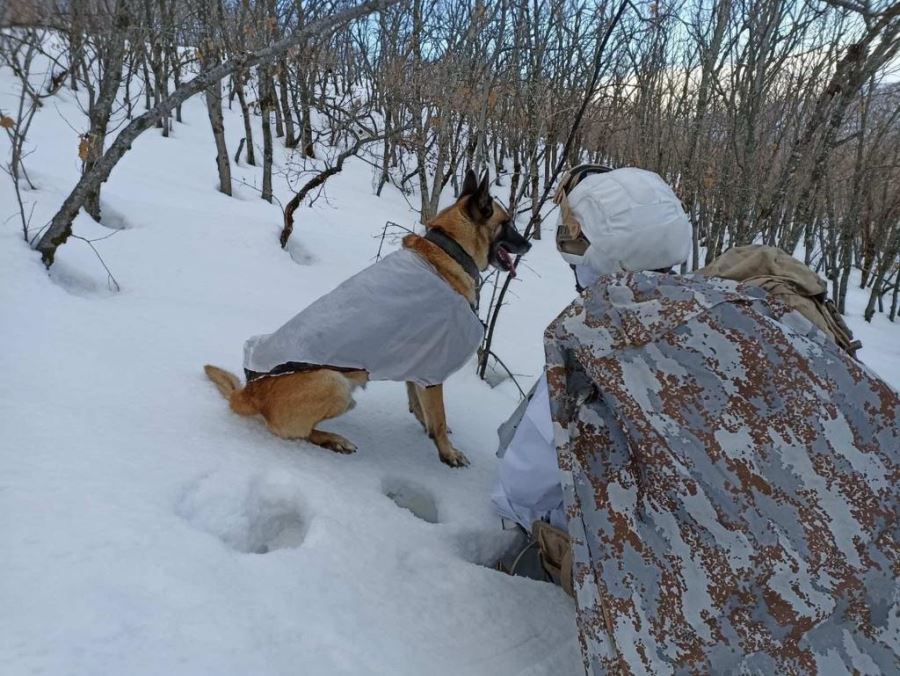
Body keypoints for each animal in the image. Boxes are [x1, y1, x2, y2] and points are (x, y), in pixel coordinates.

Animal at [206, 169, 528, 468]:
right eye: (508, 223)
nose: (529, 245)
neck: (449, 248)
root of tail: (248, 393)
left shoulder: (418, 364)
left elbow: (420, 407)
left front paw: (428, 429)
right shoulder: (433, 370)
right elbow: (437, 417)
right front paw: (447, 452)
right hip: (334, 383)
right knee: (292, 431)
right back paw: (332, 439)